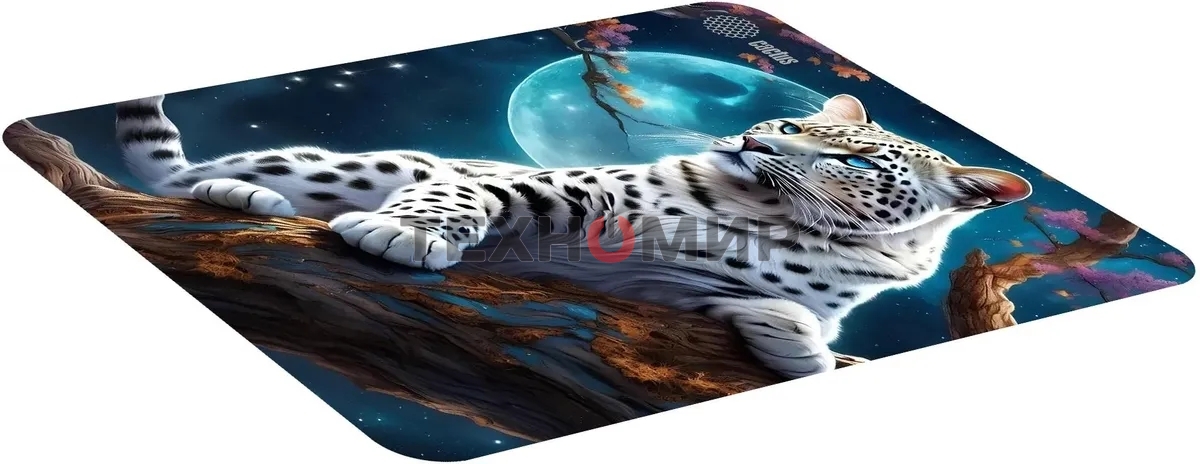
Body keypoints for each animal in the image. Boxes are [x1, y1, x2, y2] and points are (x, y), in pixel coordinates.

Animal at [114, 93, 1031, 380]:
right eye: (790, 122)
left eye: (851, 157)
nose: (752, 139)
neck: (764, 217)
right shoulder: (562, 192)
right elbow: (475, 191)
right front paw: (400, 233)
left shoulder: (685, 293)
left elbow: (786, 315)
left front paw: (805, 348)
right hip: (357, 161)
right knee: (181, 179)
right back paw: (241, 191)